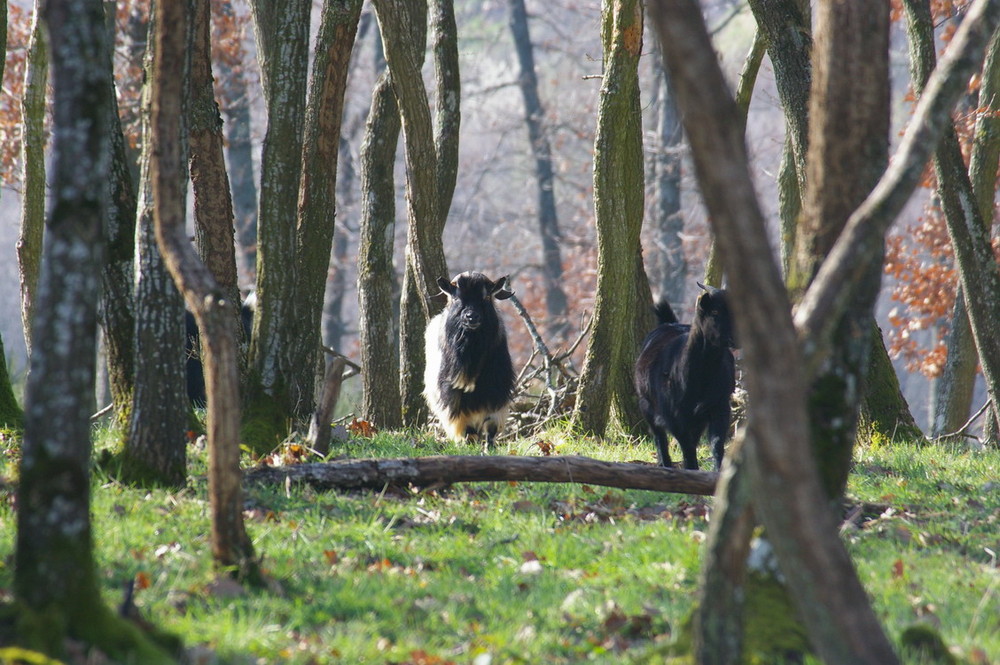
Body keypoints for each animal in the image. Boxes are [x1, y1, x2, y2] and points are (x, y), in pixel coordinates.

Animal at [424, 270, 516, 446]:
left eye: (486, 297)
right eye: (456, 297)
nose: (471, 317)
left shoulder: (496, 394)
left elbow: (491, 427)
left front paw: (490, 447)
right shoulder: (454, 400)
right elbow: (467, 430)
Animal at [636, 282, 740, 470]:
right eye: (715, 312)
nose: (737, 337)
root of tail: (669, 323)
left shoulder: (719, 404)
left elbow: (716, 443)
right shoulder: (673, 413)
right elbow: (686, 445)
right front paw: (691, 469)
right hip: (645, 403)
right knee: (659, 436)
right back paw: (665, 464)